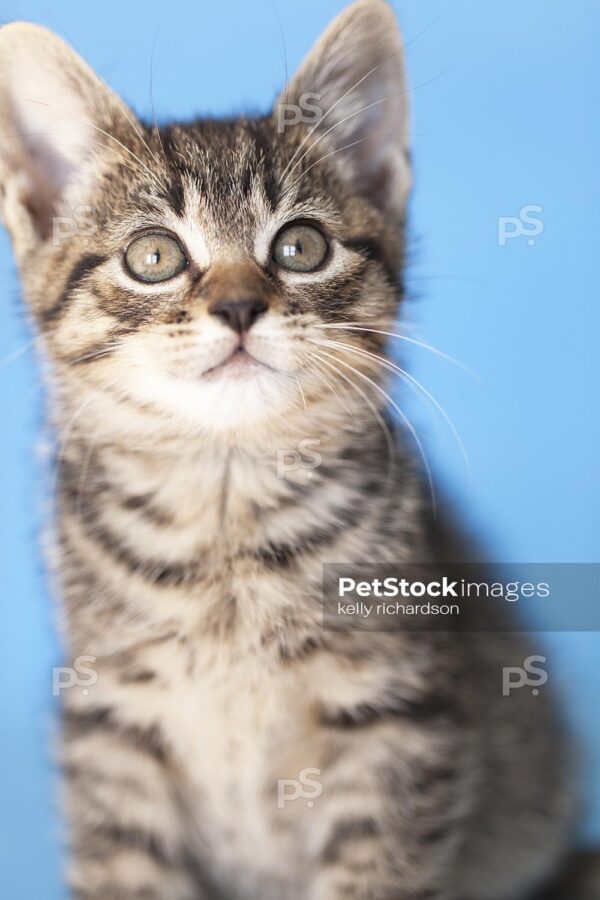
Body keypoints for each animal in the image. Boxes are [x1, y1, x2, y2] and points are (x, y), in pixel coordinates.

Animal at [0, 1, 580, 900]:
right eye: (153, 256)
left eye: (300, 247)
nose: (240, 306)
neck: (226, 509)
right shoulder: (110, 728)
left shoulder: (395, 722)